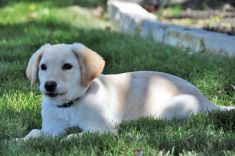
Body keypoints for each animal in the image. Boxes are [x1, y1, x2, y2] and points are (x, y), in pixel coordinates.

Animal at [23, 43, 233, 140]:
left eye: (67, 66)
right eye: (43, 67)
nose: (49, 85)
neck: (70, 105)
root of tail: (207, 101)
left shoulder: (103, 128)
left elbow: (75, 136)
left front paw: (67, 139)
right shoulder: (51, 128)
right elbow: (34, 133)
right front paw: (20, 140)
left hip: (171, 110)